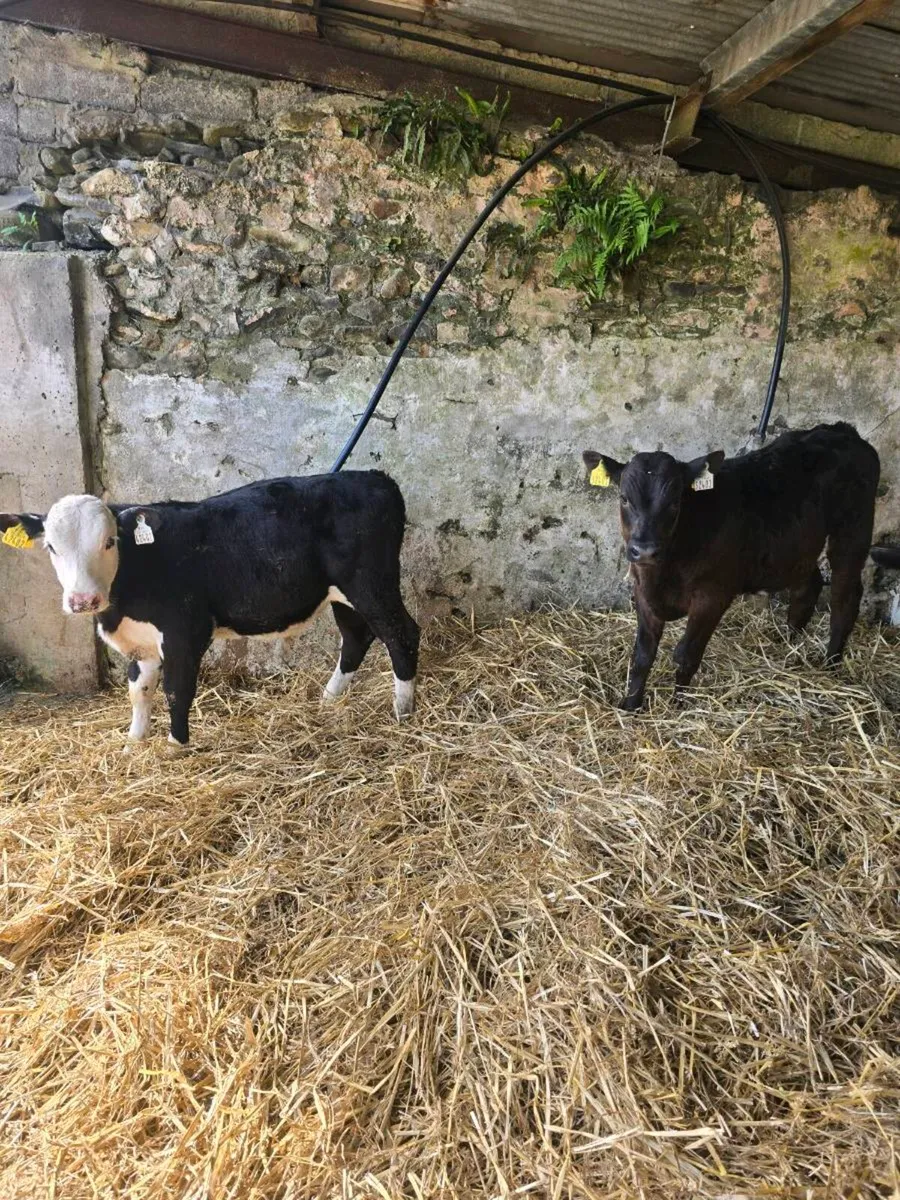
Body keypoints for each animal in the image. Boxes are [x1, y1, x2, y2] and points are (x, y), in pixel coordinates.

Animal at [0, 471, 420, 748]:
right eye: (51, 547)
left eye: (109, 542)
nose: (83, 600)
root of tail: (374, 477)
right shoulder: (142, 640)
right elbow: (139, 689)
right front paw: (135, 743)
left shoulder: (186, 631)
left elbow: (176, 689)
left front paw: (176, 747)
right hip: (340, 594)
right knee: (356, 636)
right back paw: (329, 700)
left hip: (371, 584)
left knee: (401, 635)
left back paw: (403, 711)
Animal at [582, 422, 889, 711]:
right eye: (624, 498)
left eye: (675, 501)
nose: (644, 549)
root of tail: (841, 430)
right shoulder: (643, 593)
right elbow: (643, 656)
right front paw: (631, 706)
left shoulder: (713, 596)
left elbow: (686, 654)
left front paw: (679, 704)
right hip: (797, 545)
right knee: (808, 585)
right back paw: (787, 645)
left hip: (853, 530)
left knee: (845, 596)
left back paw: (831, 664)